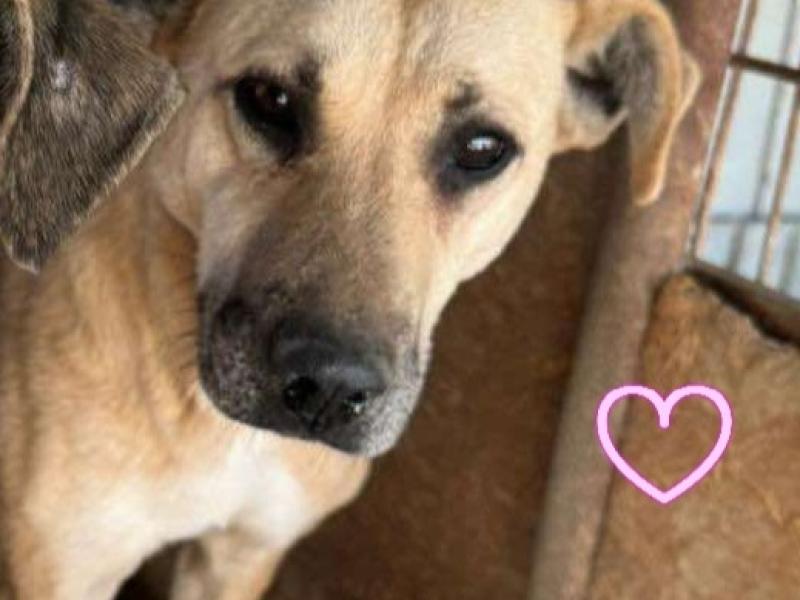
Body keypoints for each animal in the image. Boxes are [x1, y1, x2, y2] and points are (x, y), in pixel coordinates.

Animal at [0, 0, 698, 598]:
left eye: (482, 148)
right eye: (269, 98)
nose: (329, 389)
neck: (214, 433)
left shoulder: (243, 554)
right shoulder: (61, 567)